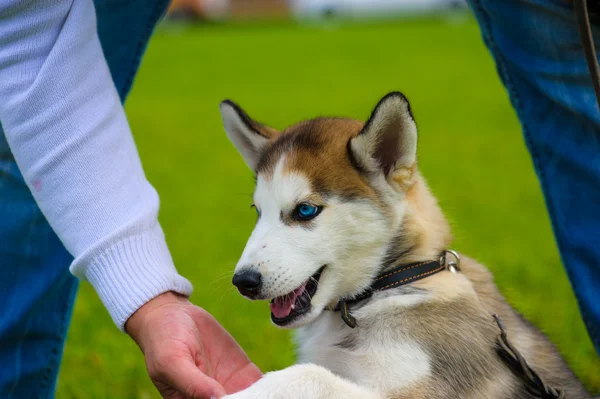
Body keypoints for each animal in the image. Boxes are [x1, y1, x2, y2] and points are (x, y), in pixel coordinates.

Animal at [218, 93, 588, 399]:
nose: (243, 281)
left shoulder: (421, 386)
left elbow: (308, 375)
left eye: (305, 210)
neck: (387, 286)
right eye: (258, 211)